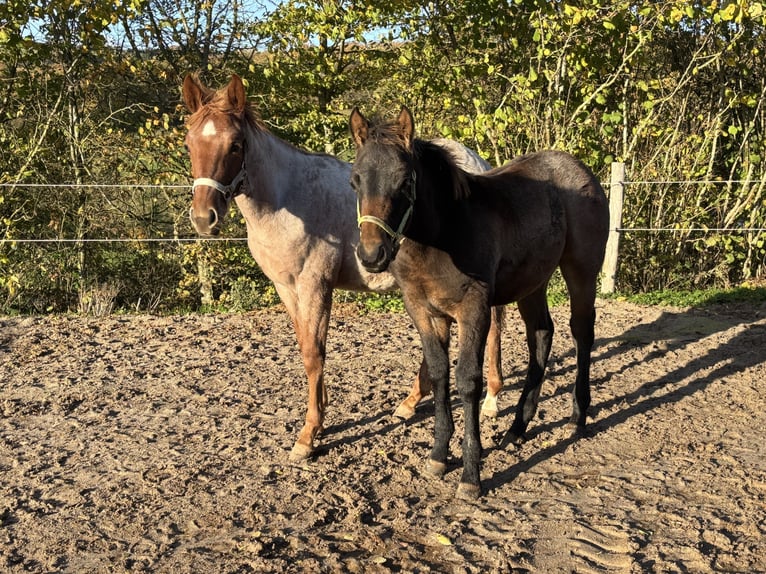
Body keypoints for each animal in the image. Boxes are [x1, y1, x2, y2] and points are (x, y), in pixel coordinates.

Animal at [181, 74, 506, 461]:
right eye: (189, 142)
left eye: (235, 145)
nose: (204, 218)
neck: (288, 202)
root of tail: (477, 163)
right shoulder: (287, 289)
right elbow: (306, 346)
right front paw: (320, 415)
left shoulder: (315, 286)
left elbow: (314, 353)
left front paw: (308, 435)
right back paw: (411, 402)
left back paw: (491, 399)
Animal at [349, 106, 609, 499]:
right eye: (355, 180)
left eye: (406, 180)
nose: (371, 255)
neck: (443, 234)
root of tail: (581, 170)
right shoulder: (424, 311)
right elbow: (439, 374)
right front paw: (438, 457)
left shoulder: (473, 309)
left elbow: (468, 380)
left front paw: (471, 474)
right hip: (532, 282)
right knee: (541, 334)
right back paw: (517, 428)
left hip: (581, 271)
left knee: (581, 333)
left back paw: (578, 417)